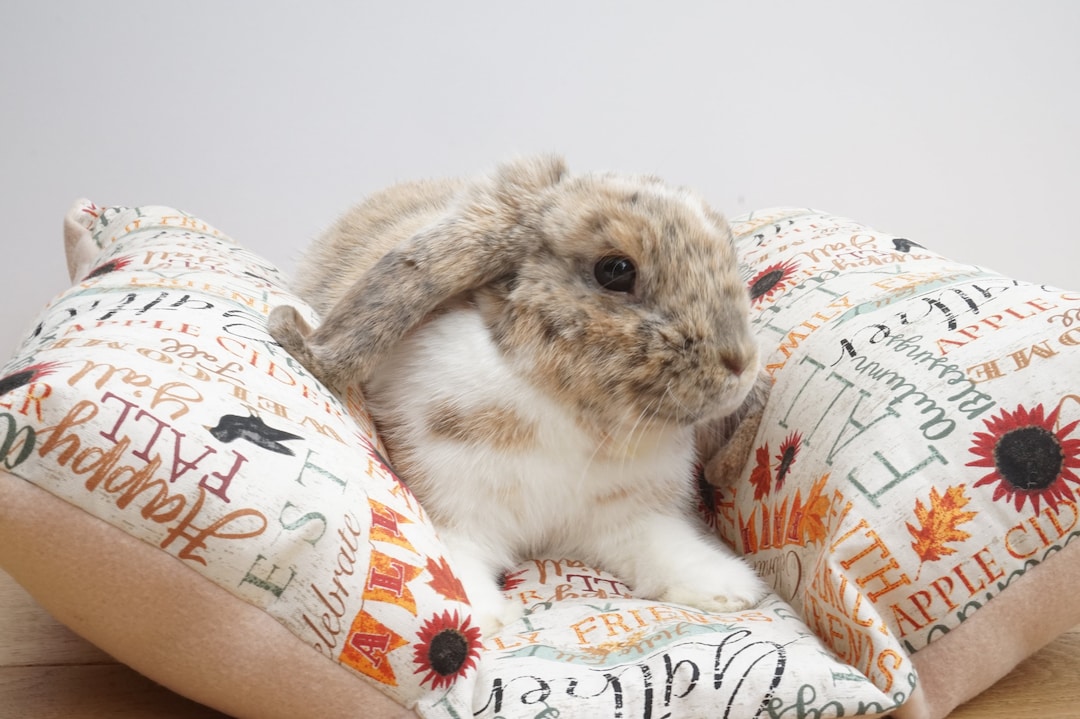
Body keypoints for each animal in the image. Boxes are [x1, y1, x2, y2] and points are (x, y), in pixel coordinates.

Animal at [269, 155, 769, 636]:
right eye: (615, 270)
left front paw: (727, 590)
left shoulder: (631, 518)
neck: (571, 414)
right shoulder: (456, 507)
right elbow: (457, 558)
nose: (741, 363)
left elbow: (665, 547)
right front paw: (476, 614)